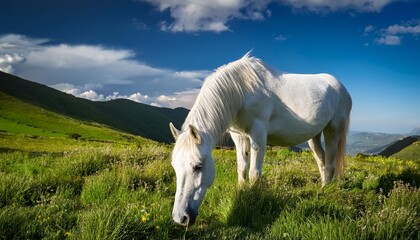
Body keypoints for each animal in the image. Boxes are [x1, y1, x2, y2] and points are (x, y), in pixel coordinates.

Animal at [169, 51, 352, 226]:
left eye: (198, 166)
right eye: (175, 166)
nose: (181, 218)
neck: (242, 89)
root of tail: (342, 88)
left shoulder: (258, 133)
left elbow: (254, 173)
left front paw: (253, 200)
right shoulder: (239, 136)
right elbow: (242, 168)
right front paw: (242, 192)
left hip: (333, 130)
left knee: (330, 164)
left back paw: (324, 192)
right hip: (315, 135)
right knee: (321, 159)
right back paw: (322, 187)